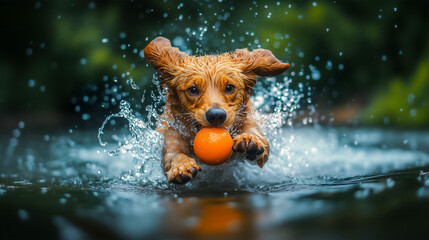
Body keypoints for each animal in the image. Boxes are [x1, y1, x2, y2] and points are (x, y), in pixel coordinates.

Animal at [143, 36, 288, 185]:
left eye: (229, 88)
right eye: (193, 90)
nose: (216, 115)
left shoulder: (251, 126)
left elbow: (261, 142)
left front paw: (250, 140)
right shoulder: (171, 141)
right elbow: (174, 156)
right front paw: (181, 166)